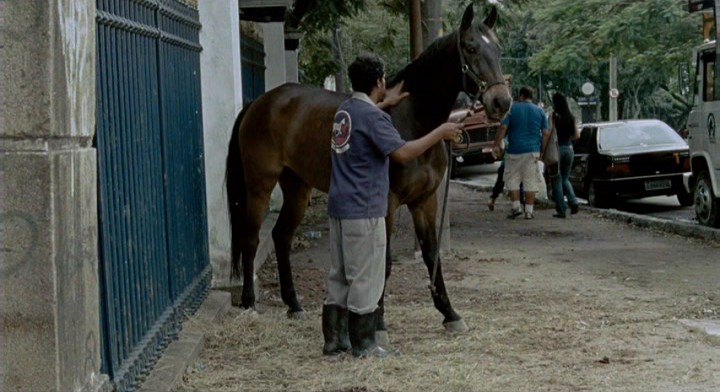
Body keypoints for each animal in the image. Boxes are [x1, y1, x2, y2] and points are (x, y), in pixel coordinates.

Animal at [225, 3, 512, 334]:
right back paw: (249, 302)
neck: (412, 119)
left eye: (499, 49)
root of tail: (260, 102)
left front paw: (450, 313)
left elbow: (431, 254)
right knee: (251, 238)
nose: (501, 102)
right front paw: (377, 321)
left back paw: (294, 305)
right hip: (260, 184)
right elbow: (383, 261)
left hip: (297, 187)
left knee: (281, 236)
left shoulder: (424, 201)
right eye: (470, 47)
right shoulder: (387, 202)